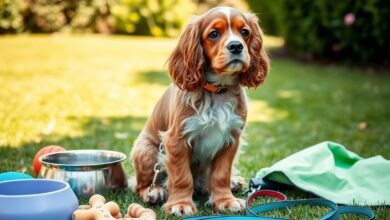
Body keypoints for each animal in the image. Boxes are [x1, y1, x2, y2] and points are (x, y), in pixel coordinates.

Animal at [130, 6, 268, 215]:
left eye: (244, 32)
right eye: (214, 34)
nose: (236, 46)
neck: (218, 90)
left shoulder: (232, 139)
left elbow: (221, 174)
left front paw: (225, 200)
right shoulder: (177, 140)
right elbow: (181, 176)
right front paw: (180, 204)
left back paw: (233, 182)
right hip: (145, 150)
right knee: (139, 185)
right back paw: (153, 192)